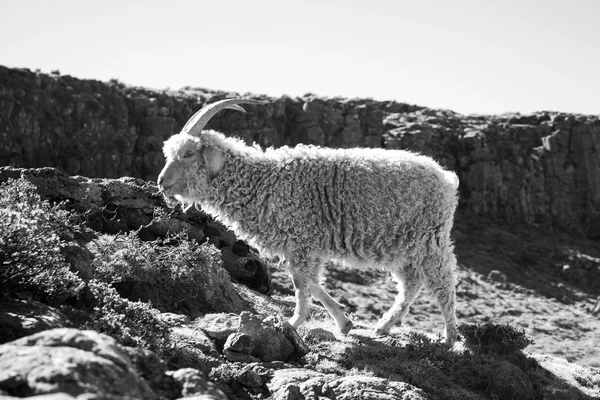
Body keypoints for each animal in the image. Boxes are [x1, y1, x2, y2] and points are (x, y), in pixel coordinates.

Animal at [158, 98, 460, 346]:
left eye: (188, 154)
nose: (161, 182)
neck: (262, 181)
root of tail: (447, 178)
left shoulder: (302, 236)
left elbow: (300, 280)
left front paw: (294, 322)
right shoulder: (303, 244)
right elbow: (306, 278)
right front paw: (344, 322)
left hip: (430, 239)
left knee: (443, 281)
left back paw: (449, 337)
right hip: (402, 244)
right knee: (411, 282)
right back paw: (385, 325)